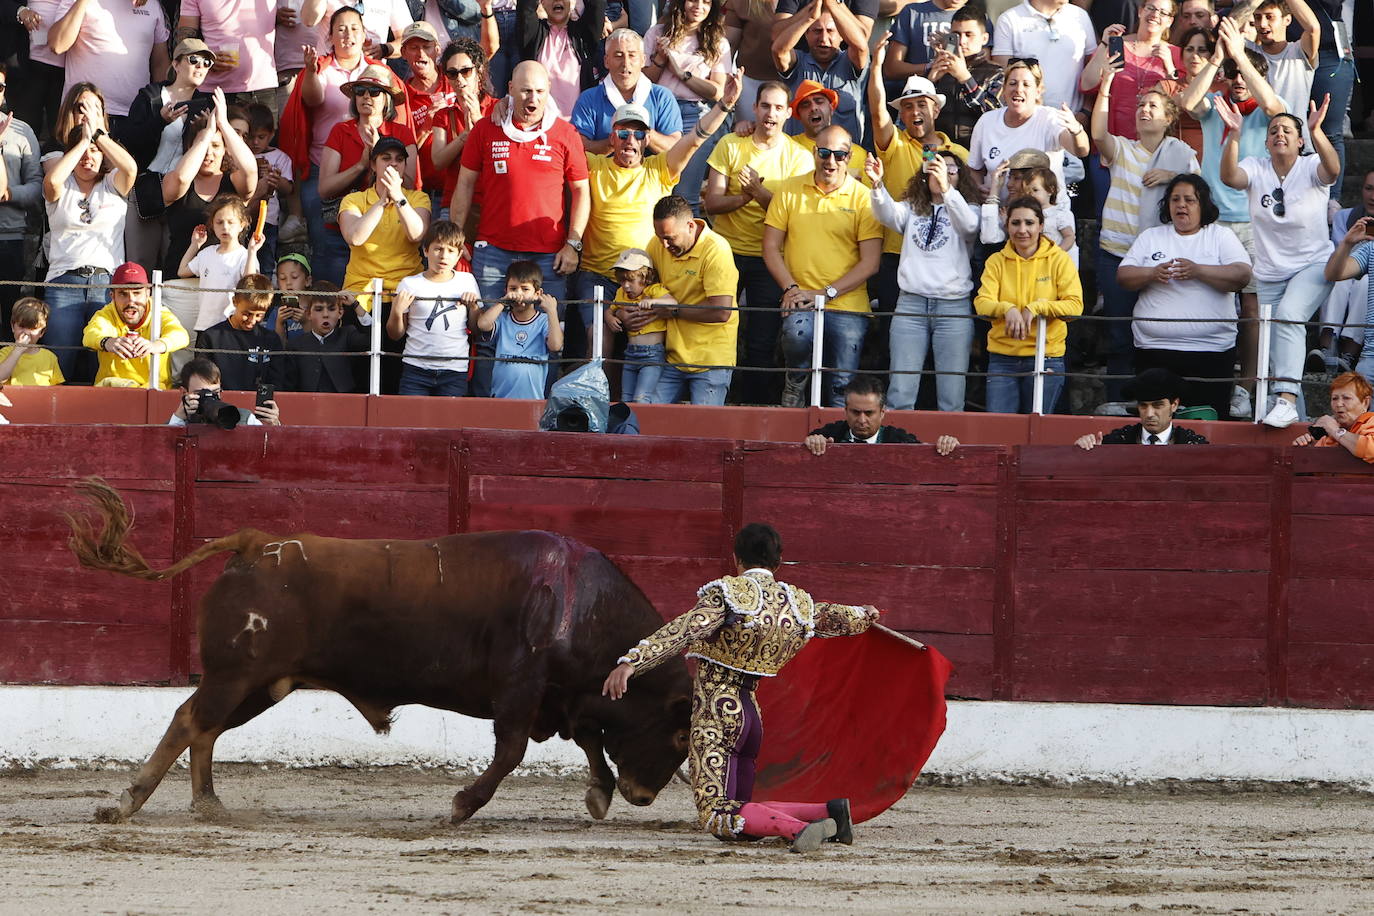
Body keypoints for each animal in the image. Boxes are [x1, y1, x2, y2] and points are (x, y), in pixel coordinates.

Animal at [65, 480, 692, 823]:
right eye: (681, 736)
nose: (642, 796)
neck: (576, 603)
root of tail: (254, 543)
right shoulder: (521, 690)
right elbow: (512, 752)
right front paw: (463, 804)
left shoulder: (565, 697)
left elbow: (589, 739)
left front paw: (599, 794)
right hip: (235, 674)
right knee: (189, 719)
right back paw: (125, 804)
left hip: (262, 683)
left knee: (205, 728)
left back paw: (208, 803)